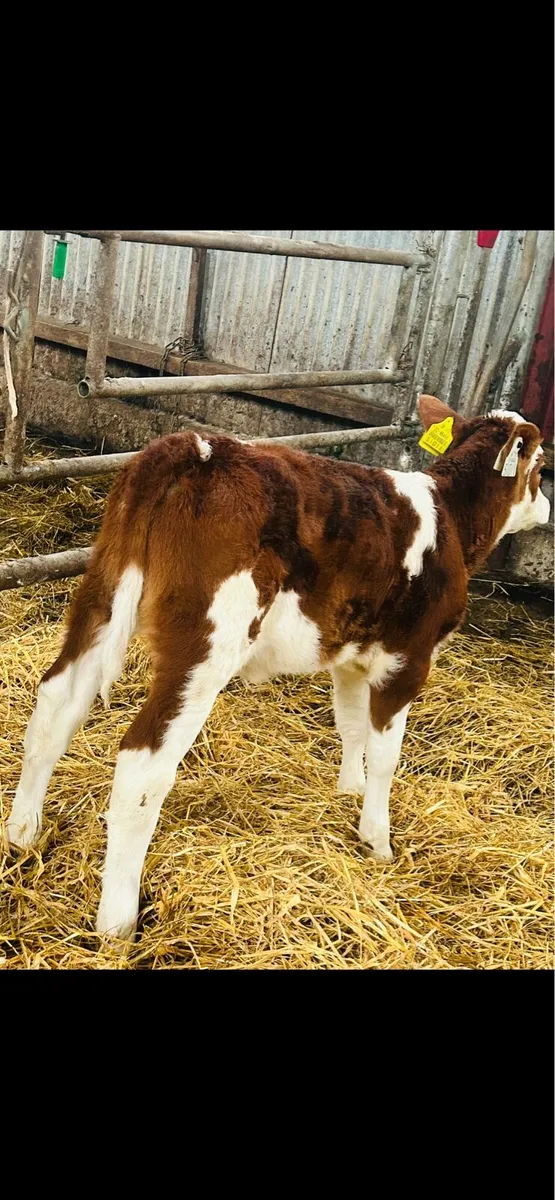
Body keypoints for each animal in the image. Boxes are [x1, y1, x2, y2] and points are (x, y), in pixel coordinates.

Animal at [5, 395, 550, 941]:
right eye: (541, 467)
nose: (547, 507)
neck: (451, 520)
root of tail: (194, 448)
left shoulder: (351, 655)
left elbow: (351, 727)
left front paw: (348, 791)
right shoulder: (407, 659)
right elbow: (386, 756)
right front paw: (377, 839)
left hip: (101, 595)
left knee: (56, 705)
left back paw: (22, 834)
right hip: (205, 645)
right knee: (143, 763)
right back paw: (117, 922)